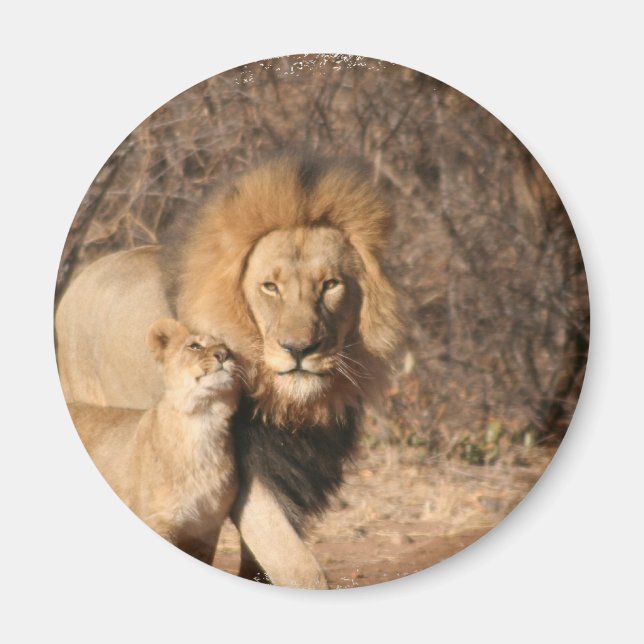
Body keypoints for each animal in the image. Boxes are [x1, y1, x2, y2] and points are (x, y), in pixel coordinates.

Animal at [68, 318, 241, 564]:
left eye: (229, 349)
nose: (223, 354)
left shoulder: (205, 532)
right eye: (195, 346)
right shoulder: (159, 520)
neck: (203, 421)